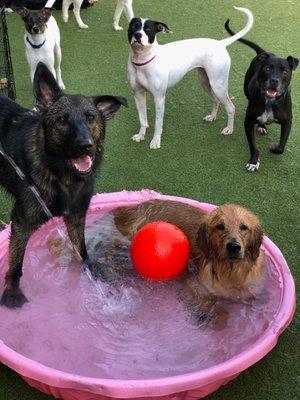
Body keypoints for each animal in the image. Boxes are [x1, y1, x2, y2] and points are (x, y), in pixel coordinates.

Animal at [0, 62, 127, 308]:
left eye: (91, 117)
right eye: (61, 121)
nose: (85, 146)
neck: (62, 176)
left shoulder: (76, 215)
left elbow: (82, 250)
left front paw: (91, 272)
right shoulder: (22, 222)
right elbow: (17, 261)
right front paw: (12, 291)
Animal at [113, 200, 264, 328]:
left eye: (244, 227)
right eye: (220, 227)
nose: (233, 247)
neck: (230, 273)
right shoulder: (194, 285)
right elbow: (214, 306)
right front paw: (215, 318)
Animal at [126, 6, 253, 150]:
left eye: (148, 29)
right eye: (133, 26)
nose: (138, 35)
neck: (142, 61)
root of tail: (220, 44)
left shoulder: (159, 98)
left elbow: (158, 123)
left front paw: (155, 141)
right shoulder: (138, 94)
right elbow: (143, 120)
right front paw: (140, 135)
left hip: (218, 86)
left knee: (231, 108)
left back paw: (229, 129)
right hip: (205, 82)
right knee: (216, 101)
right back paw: (212, 117)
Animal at [225, 19, 298, 172]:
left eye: (285, 71)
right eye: (268, 68)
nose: (274, 81)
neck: (270, 102)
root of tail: (264, 52)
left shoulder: (288, 122)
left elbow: (281, 147)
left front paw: (274, 148)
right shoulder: (248, 121)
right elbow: (253, 146)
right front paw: (254, 161)